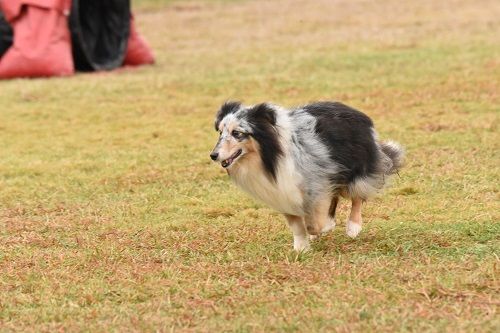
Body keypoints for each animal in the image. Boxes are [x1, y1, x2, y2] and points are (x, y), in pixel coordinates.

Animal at [209, 100, 404, 250]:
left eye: (237, 133)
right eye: (220, 132)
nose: (213, 155)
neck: (270, 156)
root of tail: (357, 112)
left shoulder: (314, 183)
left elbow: (312, 224)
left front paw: (323, 228)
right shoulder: (283, 190)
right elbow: (297, 226)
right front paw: (301, 249)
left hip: (356, 167)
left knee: (357, 194)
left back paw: (353, 227)